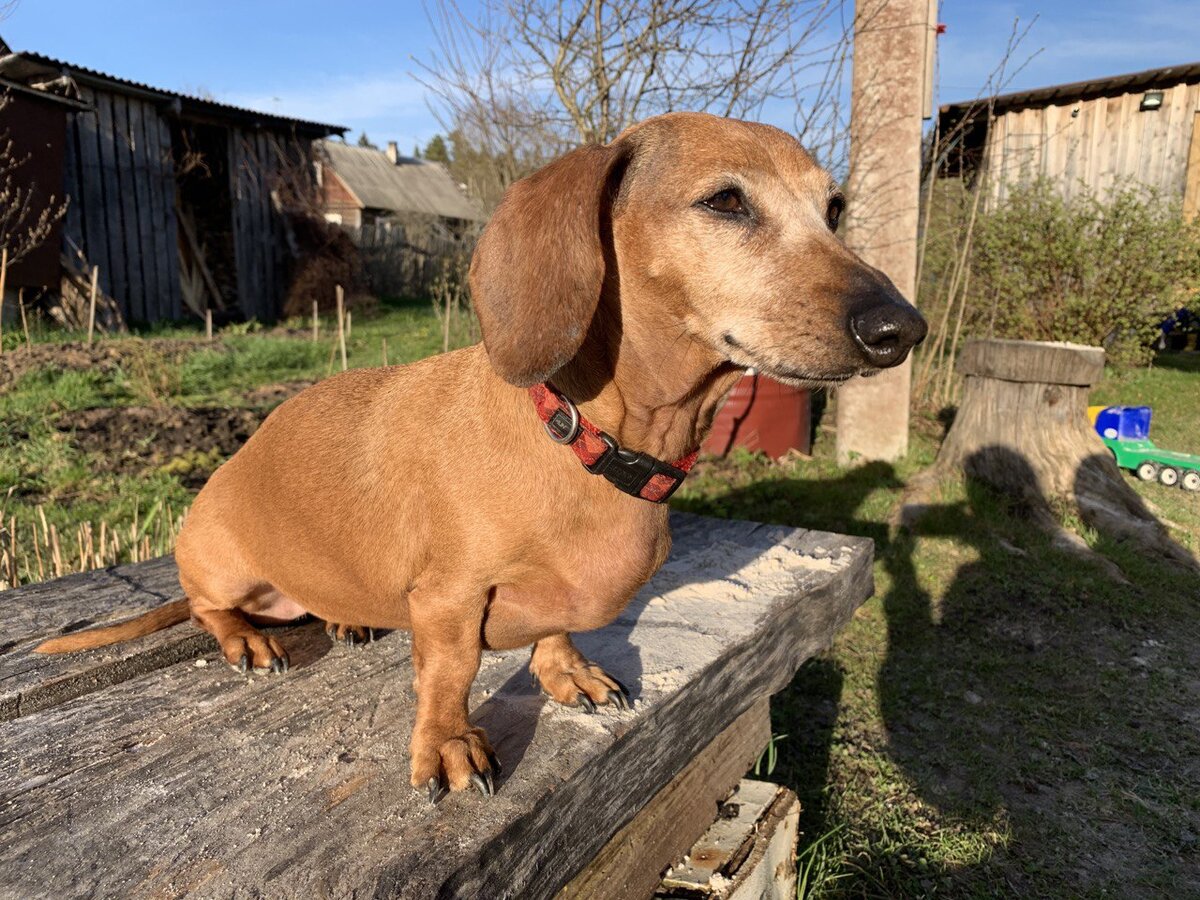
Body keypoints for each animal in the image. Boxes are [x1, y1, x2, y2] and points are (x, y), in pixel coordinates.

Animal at [35, 114, 916, 801]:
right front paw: (449, 747)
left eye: (833, 208)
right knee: (207, 608)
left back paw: (347, 617)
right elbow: (451, 674)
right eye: (725, 201)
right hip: (220, 563)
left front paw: (567, 670)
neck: (584, 442)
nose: (902, 328)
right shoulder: (451, 599)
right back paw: (248, 640)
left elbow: (554, 632)